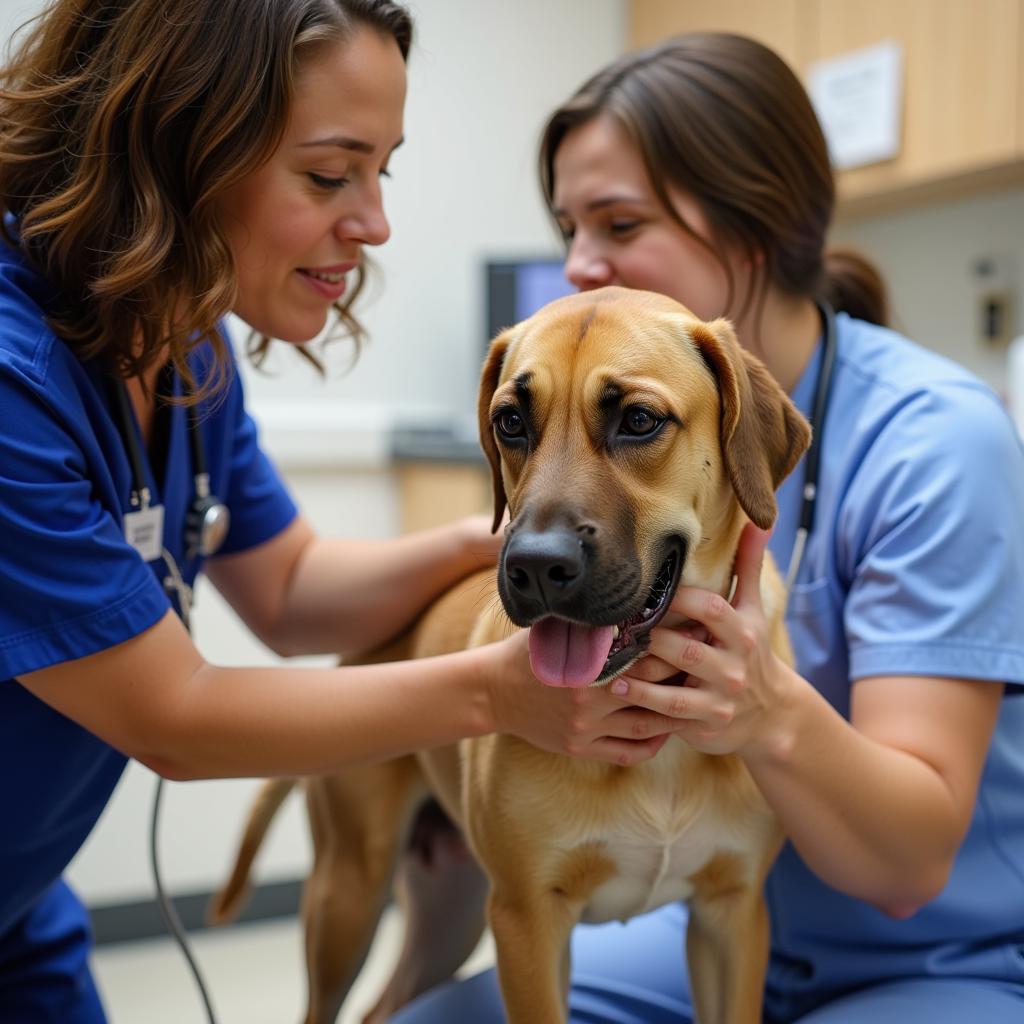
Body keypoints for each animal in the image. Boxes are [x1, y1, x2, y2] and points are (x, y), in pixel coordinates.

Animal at [211, 286, 811, 1024]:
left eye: (639, 420)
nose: (535, 568)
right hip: (348, 896)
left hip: (450, 909)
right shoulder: (527, 921)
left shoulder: (731, 915)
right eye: (511, 422)